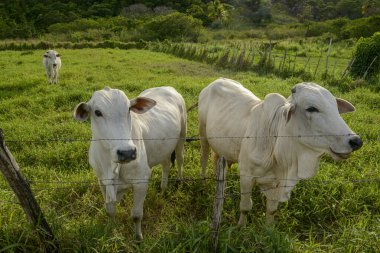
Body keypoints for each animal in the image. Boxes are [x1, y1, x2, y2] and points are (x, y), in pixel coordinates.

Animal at [73, 86, 186, 239]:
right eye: (97, 112)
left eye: (128, 109)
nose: (126, 152)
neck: (110, 164)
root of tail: (168, 88)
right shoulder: (102, 181)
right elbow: (110, 210)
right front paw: (111, 229)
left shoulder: (141, 181)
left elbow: (136, 215)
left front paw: (138, 238)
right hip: (164, 147)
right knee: (166, 164)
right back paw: (163, 188)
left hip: (182, 136)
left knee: (179, 160)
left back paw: (179, 181)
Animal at [199, 77, 362, 225]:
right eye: (311, 108)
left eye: (335, 107)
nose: (356, 141)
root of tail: (217, 81)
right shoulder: (246, 175)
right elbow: (245, 207)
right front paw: (241, 227)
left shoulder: (279, 183)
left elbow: (272, 210)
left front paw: (269, 230)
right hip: (203, 136)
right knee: (204, 159)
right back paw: (204, 183)